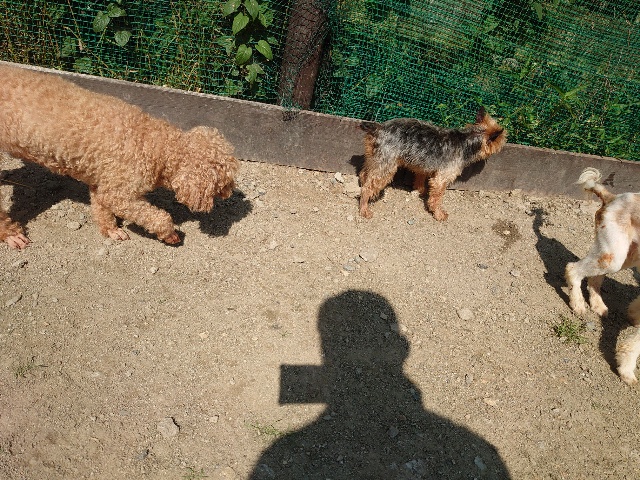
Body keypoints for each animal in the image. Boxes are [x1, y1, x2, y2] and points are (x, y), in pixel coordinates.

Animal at [0, 64, 238, 248]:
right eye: (225, 181)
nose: (229, 193)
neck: (156, 146)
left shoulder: (104, 181)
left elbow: (101, 206)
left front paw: (111, 230)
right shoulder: (121, 193)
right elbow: (156, 216)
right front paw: (170, 233)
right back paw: (11, 234)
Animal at [357, 108, 507, 220]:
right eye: (503, 140)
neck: (466, 140)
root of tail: (380, 127)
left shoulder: (424, 168)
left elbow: (421, 181)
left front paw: (421, 192)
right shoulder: (442, 178)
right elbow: (437, 198)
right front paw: (438, 213)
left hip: (374, 158)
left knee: (364, 174)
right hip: (387, 167)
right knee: (367, 188)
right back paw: (364, 210)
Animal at [564, 167, 640, 384]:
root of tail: (612, 197)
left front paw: (633, 315)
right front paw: (627, 371)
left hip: (626, 255)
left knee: (594, 278)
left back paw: (597, 305)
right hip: (614, 255)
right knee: (573, 269)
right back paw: (578, 304)